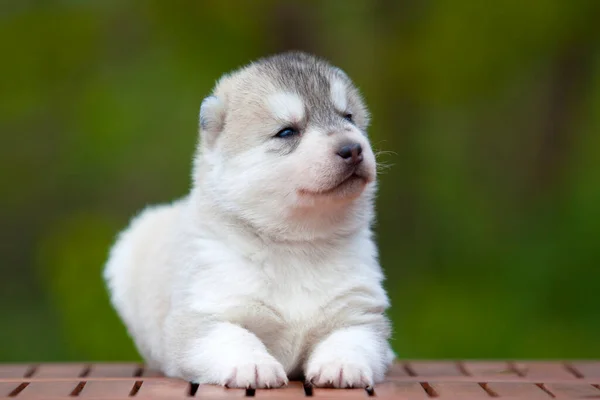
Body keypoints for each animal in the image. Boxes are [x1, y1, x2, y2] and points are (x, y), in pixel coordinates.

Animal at [103, 50, 394, 388]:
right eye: (286, 131)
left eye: (348, 117)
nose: (353, 148)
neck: (297, 245)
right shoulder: (204, 313)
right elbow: (232, 336)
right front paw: (253, 365)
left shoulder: (359, 310)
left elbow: (352, 337)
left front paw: (342, 364)